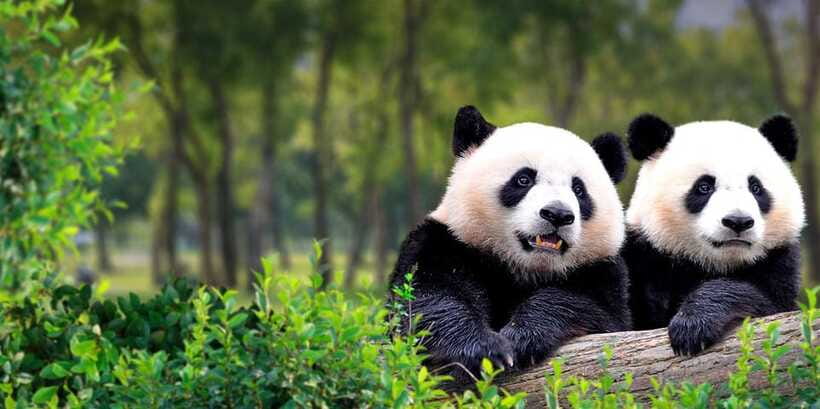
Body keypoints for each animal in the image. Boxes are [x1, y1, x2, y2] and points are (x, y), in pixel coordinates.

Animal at [389, 106, 631, 378]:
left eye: (579, 190)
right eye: (524, 179)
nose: (557, 214)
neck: (525, 267)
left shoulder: (601, 272)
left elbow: (589, 308)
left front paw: (522, 338)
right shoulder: (448, 243)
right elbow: (427, 299)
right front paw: (486, 350)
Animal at [623, 113, 804, 356]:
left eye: (756, 188)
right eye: (704, 187)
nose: (738, 221)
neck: (713, 263)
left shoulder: (778, 263)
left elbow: (766, 302)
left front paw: (691, 326)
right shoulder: (644, 257)